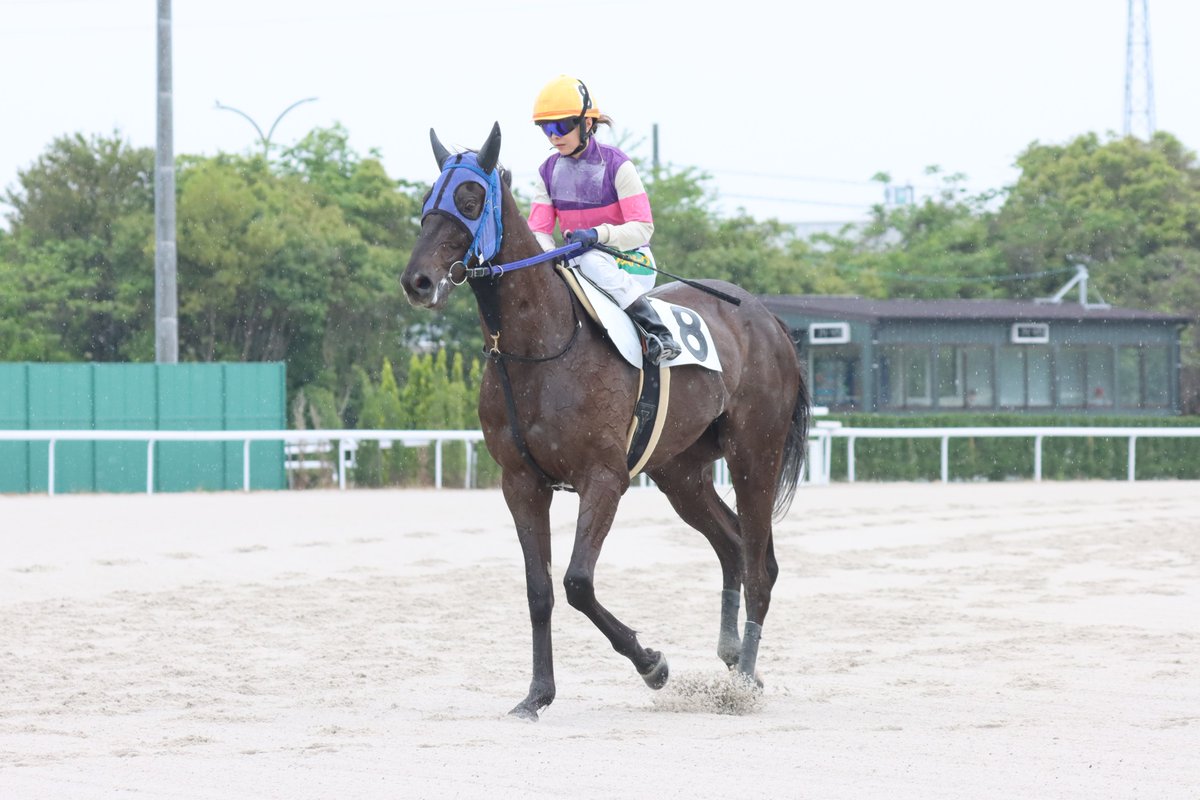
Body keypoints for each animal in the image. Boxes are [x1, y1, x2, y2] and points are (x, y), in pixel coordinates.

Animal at [400, 123, 809, 721]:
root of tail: (766, 317)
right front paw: (536, 695)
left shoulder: (604, 478)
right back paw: (735, 658)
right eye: (428, 202)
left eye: (470, 201)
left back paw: (743, 682)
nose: (418, 282)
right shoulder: (520, 484)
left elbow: (577, 582)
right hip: (679, 473)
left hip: (755, 452)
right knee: (732, 545)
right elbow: (540, 591)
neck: (540, 348)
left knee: (760, 564)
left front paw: (653, 664)